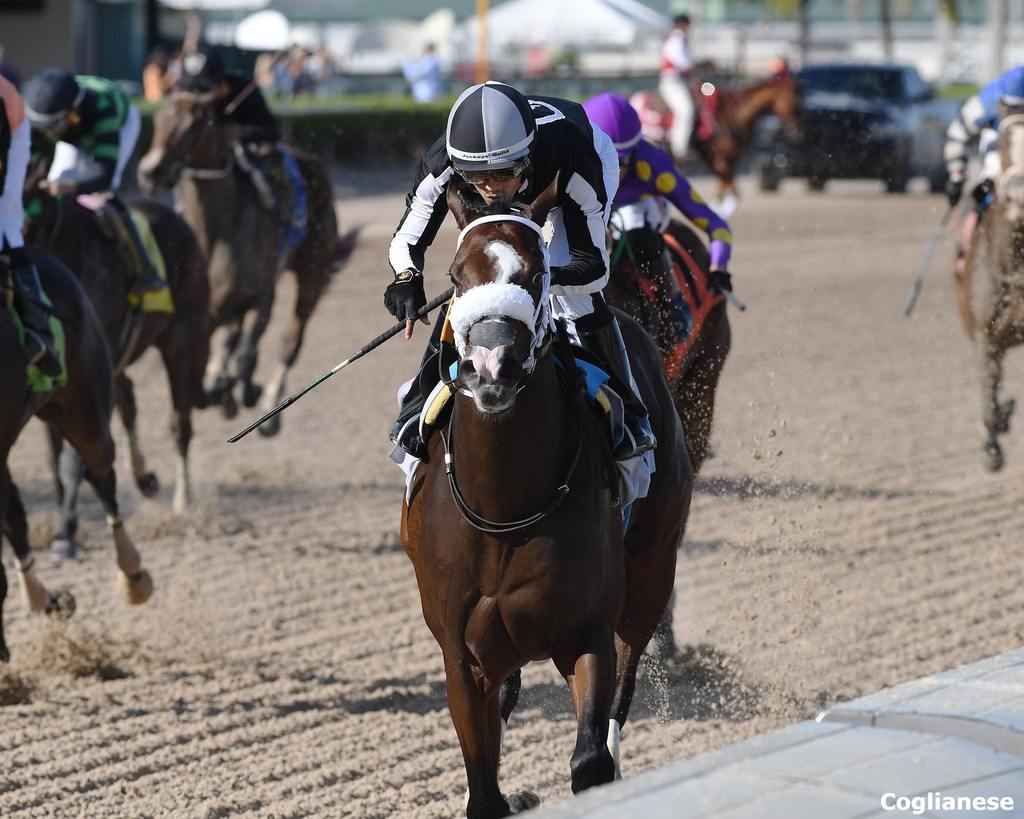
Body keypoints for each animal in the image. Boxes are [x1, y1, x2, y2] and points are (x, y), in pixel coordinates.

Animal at [397, 182, 688, 814]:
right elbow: (484, 790)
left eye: (535, 276)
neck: (503, 509)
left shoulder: (587, 632)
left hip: (651, 574)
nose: (491, 367)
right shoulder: (462, 656)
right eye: (455, 276)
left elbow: (590, 760)